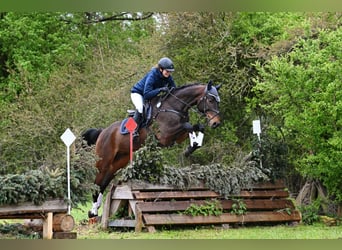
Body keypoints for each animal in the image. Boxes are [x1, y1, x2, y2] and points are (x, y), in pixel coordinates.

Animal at [83, 79, 222, 217]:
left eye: (217, 101)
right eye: (210, 100)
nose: (216, 123)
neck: (173, 107)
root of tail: (103, 131)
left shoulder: (177, 137)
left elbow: (196, 127)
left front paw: (192, 146)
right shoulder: (165, 136)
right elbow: (188, 125)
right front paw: (192, 146)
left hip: (119, 161)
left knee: (105, 181)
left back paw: (96, 209)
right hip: (104, 160)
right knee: (98, 180)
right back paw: (93, 210)